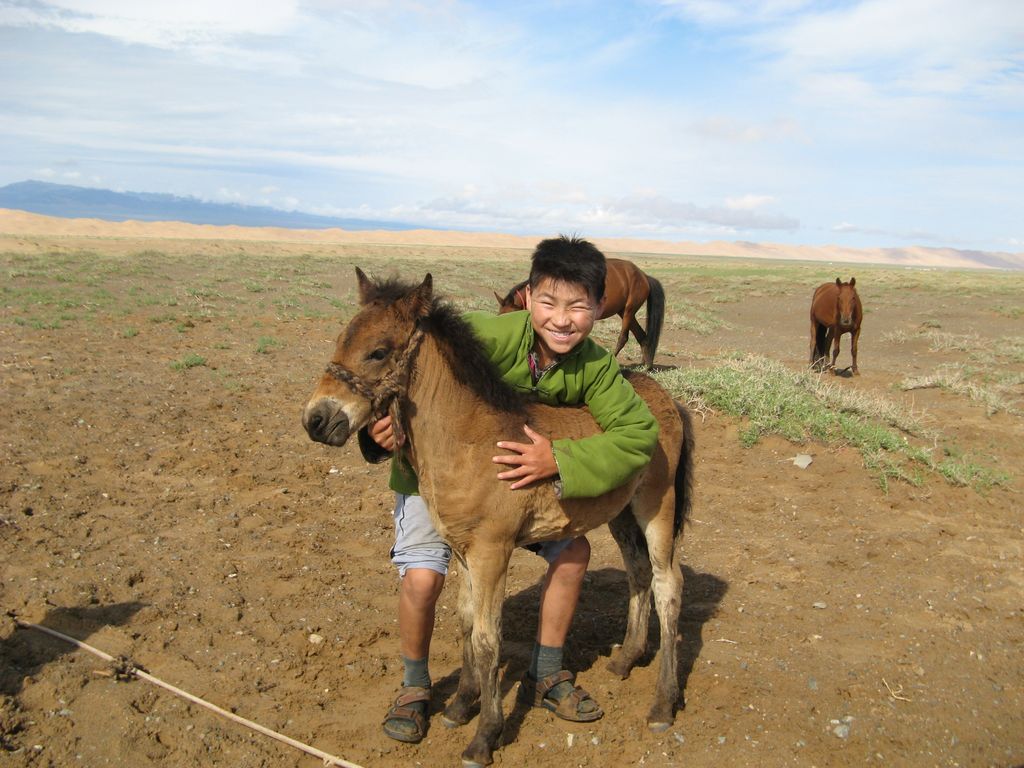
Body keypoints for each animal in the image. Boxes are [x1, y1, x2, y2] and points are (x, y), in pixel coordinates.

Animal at [497, 259, 671, 370]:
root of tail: (644, 276)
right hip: (625, 311)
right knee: (642, 335)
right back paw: (647, 365)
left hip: (629, 310)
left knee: (624, 337)